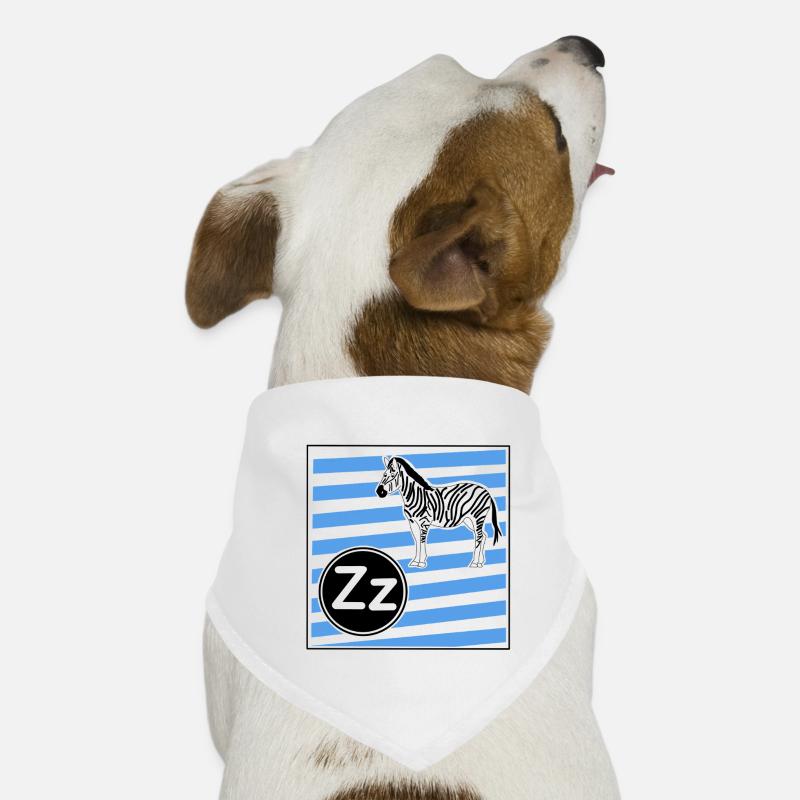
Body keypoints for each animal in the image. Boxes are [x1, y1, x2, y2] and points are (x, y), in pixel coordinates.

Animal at [374, 455, 503, 569]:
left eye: (392, 475)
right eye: (384, 474)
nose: (379, 492)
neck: (415, 495)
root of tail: (486, 491)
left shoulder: (424, 522)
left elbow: (422, 541)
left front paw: (421, 562)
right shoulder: (412, 522)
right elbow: (416, 541)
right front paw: (415, 561)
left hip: (477, 517)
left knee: (479, 537)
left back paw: (474, 563)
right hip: (469, 520)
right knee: (483, 535)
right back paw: (481, 562)